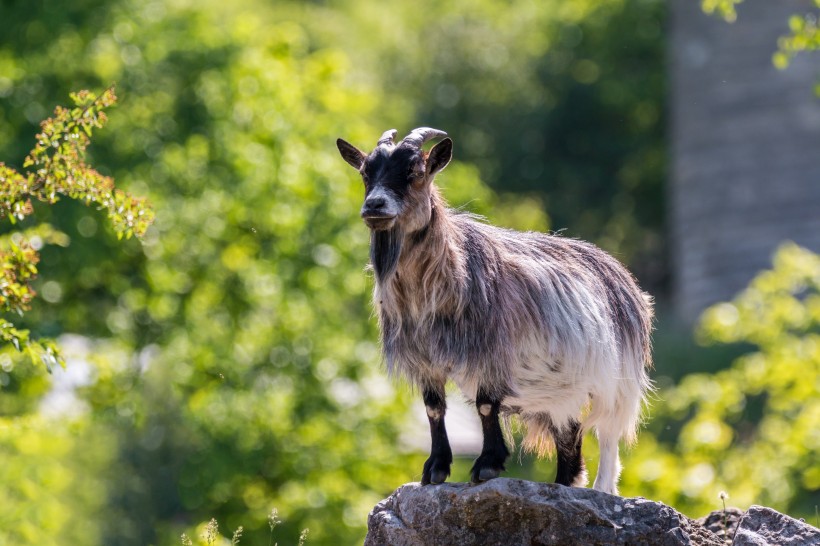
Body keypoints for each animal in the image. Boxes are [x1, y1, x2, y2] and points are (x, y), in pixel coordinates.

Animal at [334, 127, 652, 492]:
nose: (375, 205)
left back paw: (602, 488)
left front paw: (487, 465)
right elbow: (433, 409)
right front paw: (435, 469)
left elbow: (486, 406)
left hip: (616, 383)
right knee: (569, 435)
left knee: (608, 436)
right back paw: (563, 483)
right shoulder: (425, 359)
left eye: (415, 171)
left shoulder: (491, 353)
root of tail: (622, 276)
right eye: (365, 173)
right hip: (560, 390)